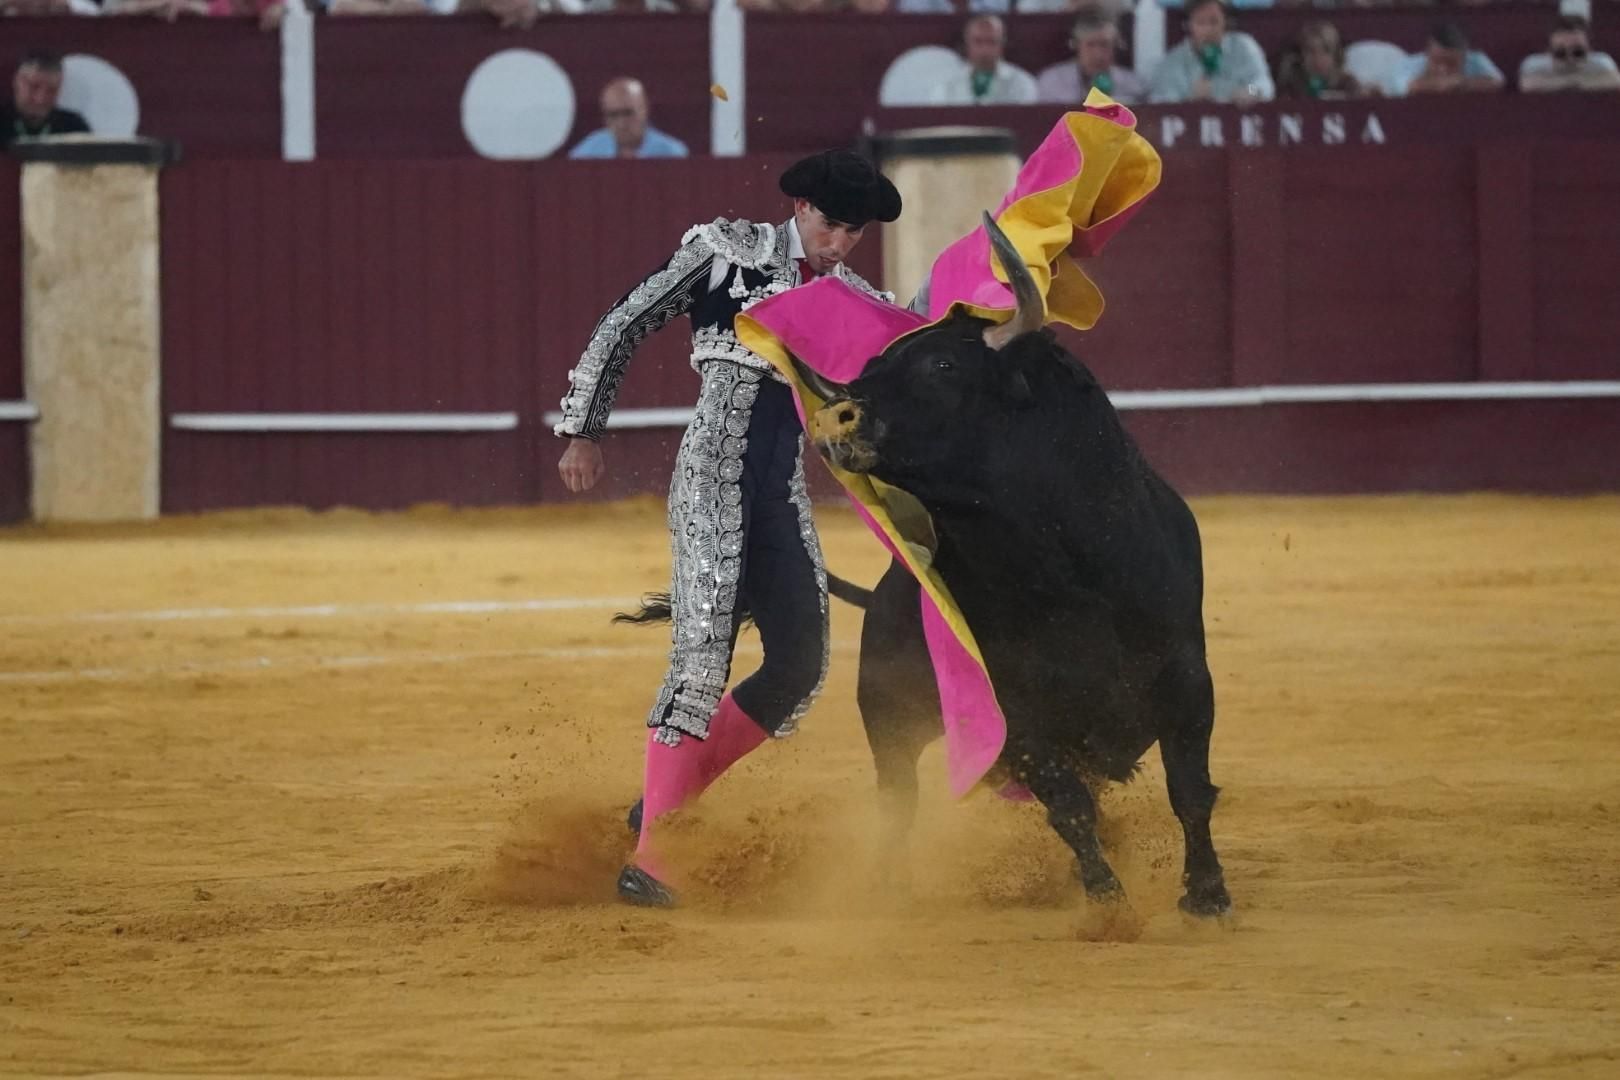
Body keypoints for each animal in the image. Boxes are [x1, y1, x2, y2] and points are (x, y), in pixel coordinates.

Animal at [784, 216, 1224, 919]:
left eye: (943, 364)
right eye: (873, 366)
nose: (835, 417)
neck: (1065, 571)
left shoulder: (1186, 674)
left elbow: (1190, 787)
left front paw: (1207, 894)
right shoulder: (1015, 717)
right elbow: (1069, 807)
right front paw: (1107, 901)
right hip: (888, 717)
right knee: (898, 802)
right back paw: (888, 889)